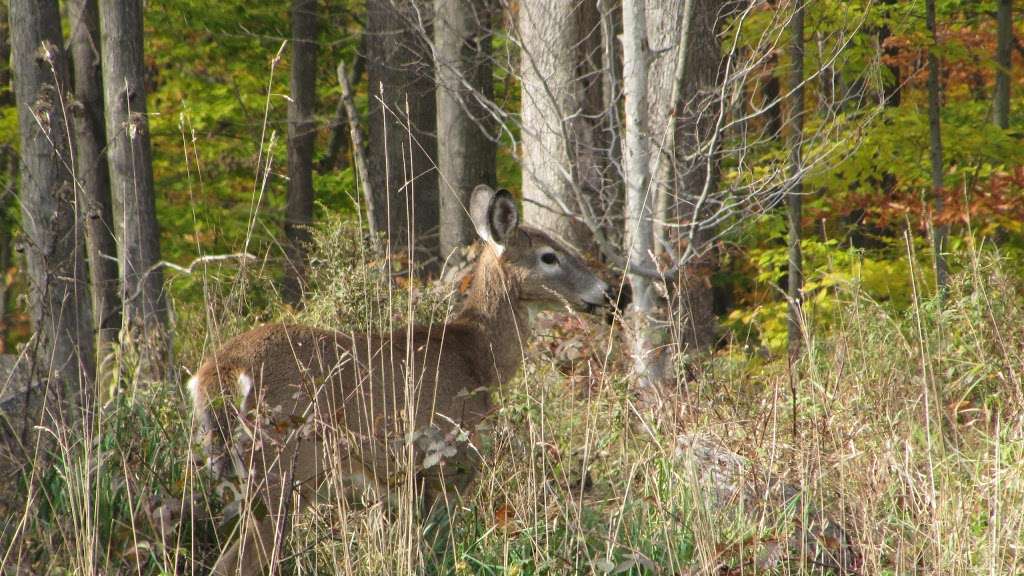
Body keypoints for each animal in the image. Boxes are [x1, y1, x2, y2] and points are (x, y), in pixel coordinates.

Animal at [188, 184, 626, 573]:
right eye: (549, 256)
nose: (609, 292)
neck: (478, 357)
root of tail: (218, 371)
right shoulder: (446, 457)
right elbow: (436, 551)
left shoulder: (398, 482)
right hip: (285, 463)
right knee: (235, 563)